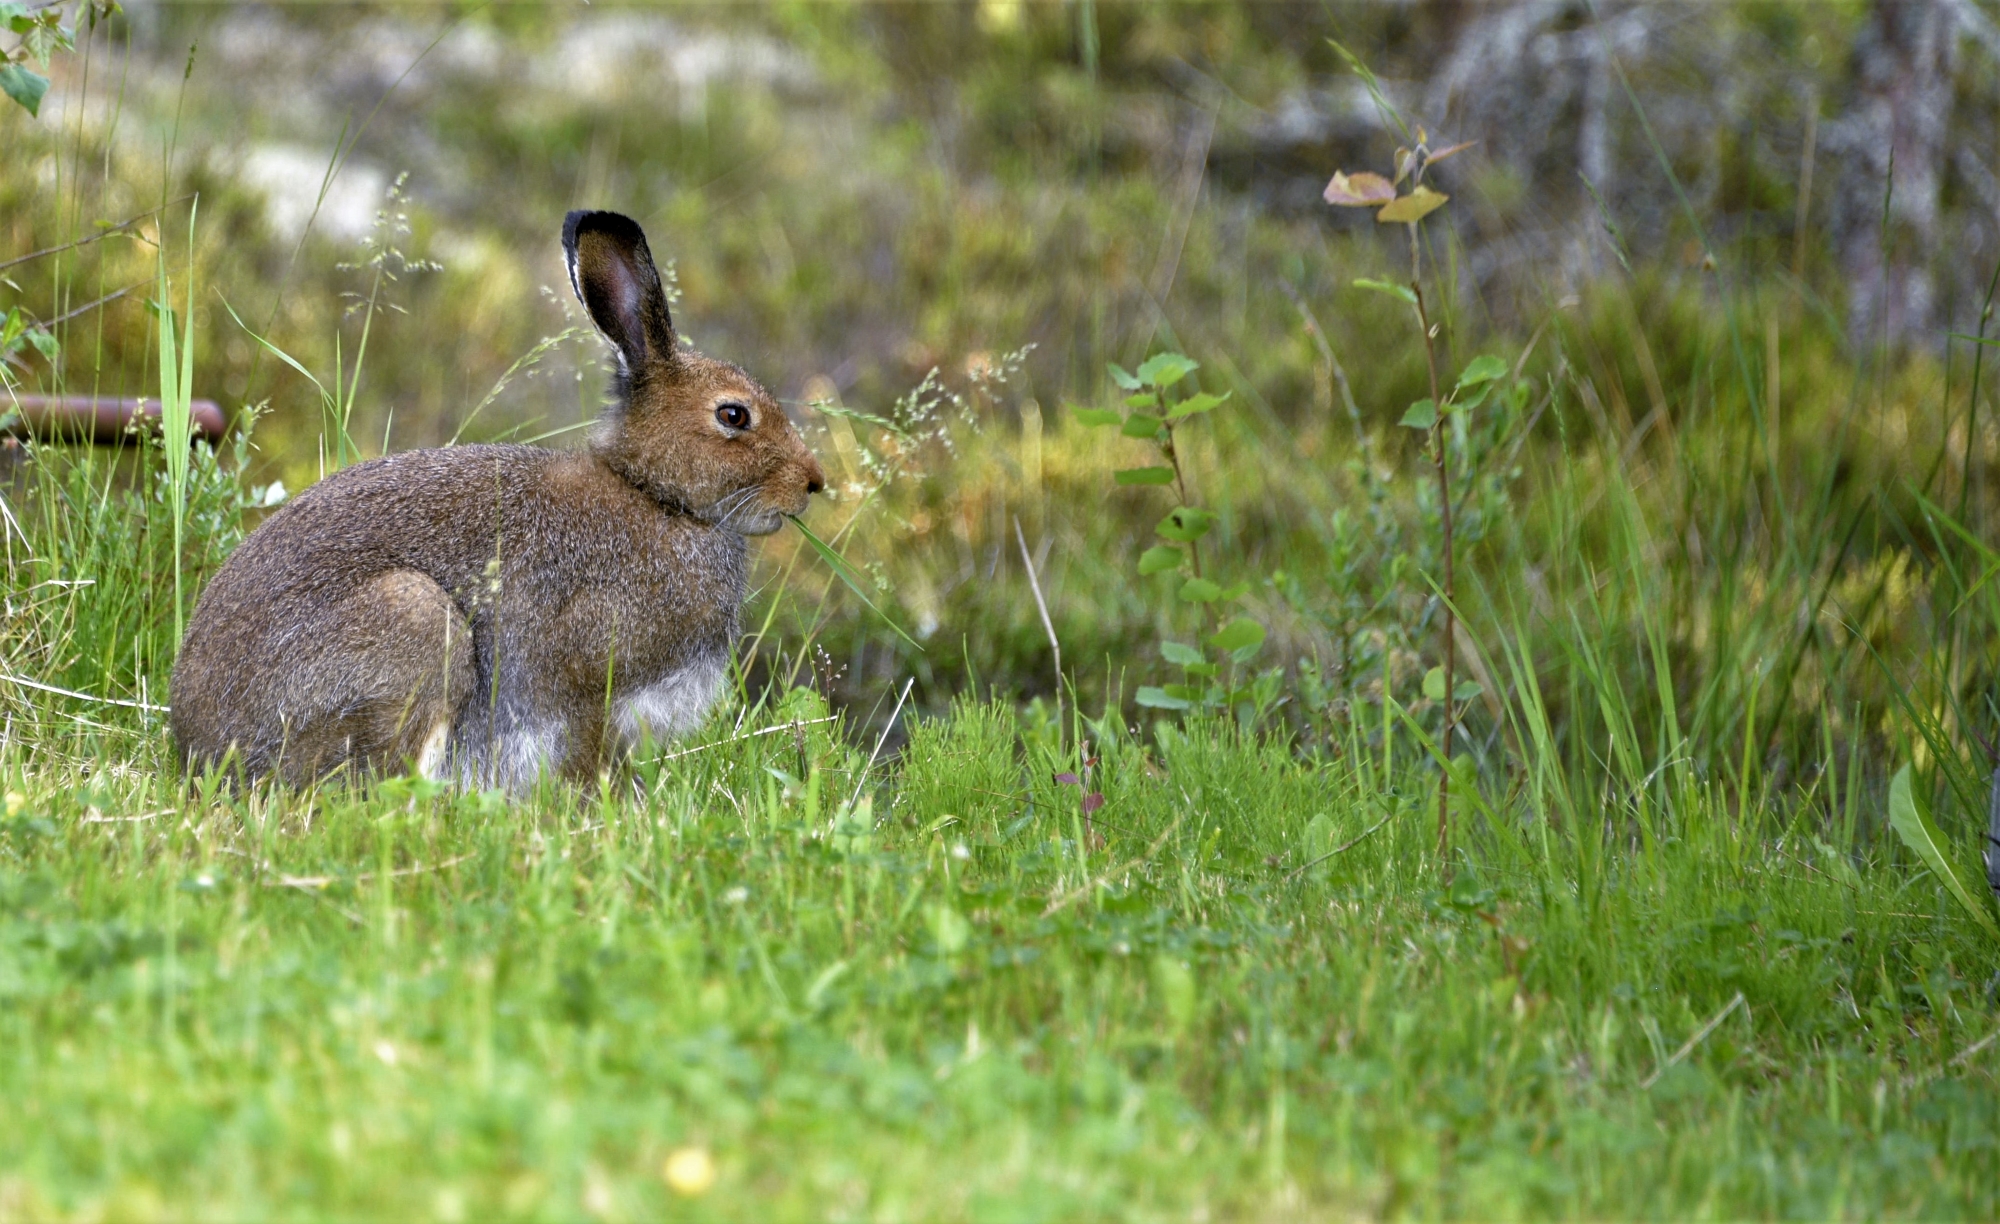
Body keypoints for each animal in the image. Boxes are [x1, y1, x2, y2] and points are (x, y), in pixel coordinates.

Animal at [170, 210, 825, 789]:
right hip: (414, 625)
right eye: (733, 415)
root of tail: (202, 750)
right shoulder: (585, 680)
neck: (654, 494)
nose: (813, 482)